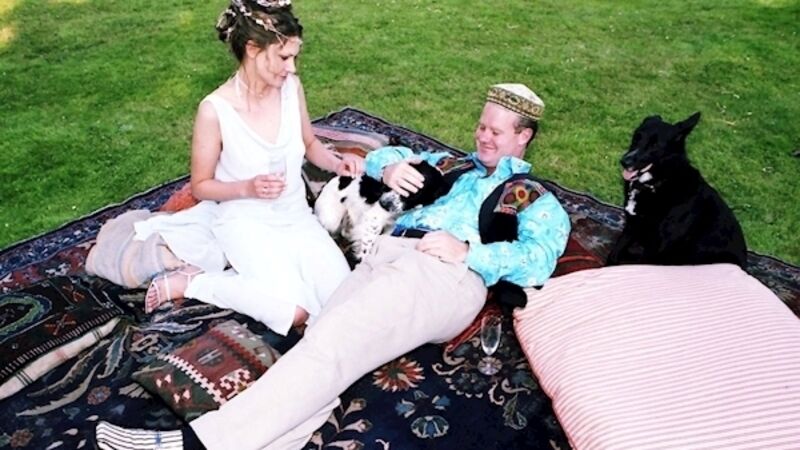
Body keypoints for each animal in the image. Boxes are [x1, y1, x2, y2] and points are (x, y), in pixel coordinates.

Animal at [314, 160, 449, 265]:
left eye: (414, 194)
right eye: (395, 184)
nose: (384, 203)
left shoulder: (391, 225)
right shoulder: (374, 219)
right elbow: (367, 248)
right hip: (332, 219)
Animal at [606, 112, 747, 268]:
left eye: (655, 145)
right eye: (637, 137)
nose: (625, 161)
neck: (660, 182)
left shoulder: (657, 246)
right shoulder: (632, 225)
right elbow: (614, 254)